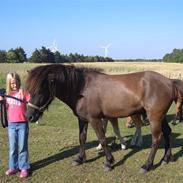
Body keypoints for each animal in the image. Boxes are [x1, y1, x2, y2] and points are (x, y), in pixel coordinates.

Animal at [25, 64, 174, 173]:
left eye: (40, 91)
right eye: (29, 90)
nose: (29, 116)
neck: (82, 88)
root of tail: (169, 82)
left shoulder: (94, 119)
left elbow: (102, 138)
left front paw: (109, 162)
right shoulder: (82, 119)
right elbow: (82, 138)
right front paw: (79, 158)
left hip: (154, 118)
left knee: (156, 139)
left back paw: (147, 165)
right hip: (161, 117)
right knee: (167, 132)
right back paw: (166, 158)